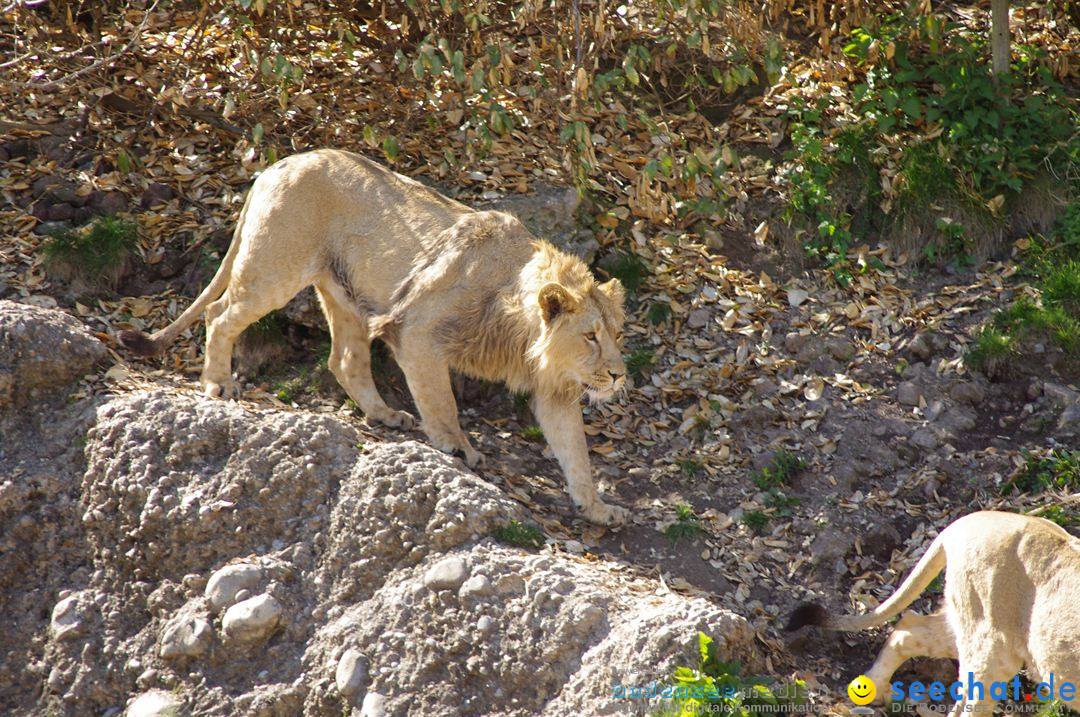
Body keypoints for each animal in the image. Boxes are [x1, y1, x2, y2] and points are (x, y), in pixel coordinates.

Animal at [122, 147, 630, 524]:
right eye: (590, 336)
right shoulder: (418, 333)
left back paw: (384, 414)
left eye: (618, 334)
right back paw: (217, 382)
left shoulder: (556, 386)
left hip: (344, 294)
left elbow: (575, 450)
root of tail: (278, 165)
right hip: (277, 268)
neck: (521, 329)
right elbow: (442, 402)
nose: (619, 376)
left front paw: (596, 506)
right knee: (218, 313)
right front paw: (458, 447)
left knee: (344, 361)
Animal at [786, 509, 1080, 712]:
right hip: (990, 645)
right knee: (965, 706)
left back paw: (872, 687)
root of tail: (969, 520)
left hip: (969, 624)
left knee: (907, 628)